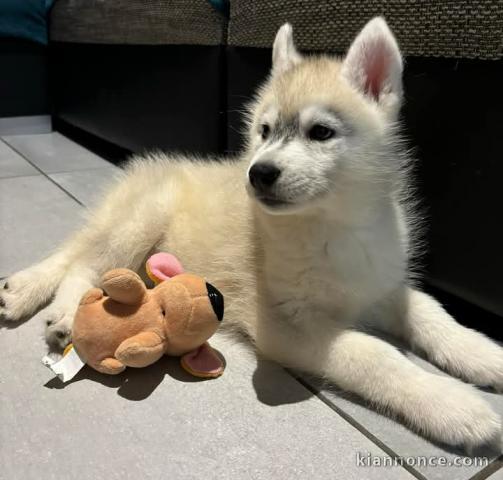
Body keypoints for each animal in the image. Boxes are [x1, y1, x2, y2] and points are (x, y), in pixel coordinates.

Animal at [1, 17, 502, 450]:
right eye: (263, 130)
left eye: (321, 132)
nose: (258, 173)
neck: (333, 226)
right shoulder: (286, 324)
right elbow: (373, 355)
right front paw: (453, 405)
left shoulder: (381, 286)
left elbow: (433, 313)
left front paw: (483, 353)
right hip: (140, 219)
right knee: (82, 264)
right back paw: (64, 314)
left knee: (75, 256)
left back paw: (27, 294)